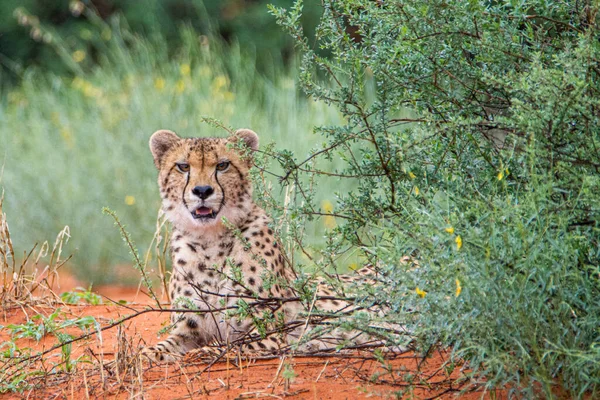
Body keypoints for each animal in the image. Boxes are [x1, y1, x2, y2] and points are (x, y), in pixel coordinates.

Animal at [142, 128, 400, 362]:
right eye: (183, 167)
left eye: (223, 165)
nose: (203, 191)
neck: (210, 241)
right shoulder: (188, 328)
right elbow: (162, 346)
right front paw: (143, 355)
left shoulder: (269, 331)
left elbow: (233, 346)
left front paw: (204, 353)